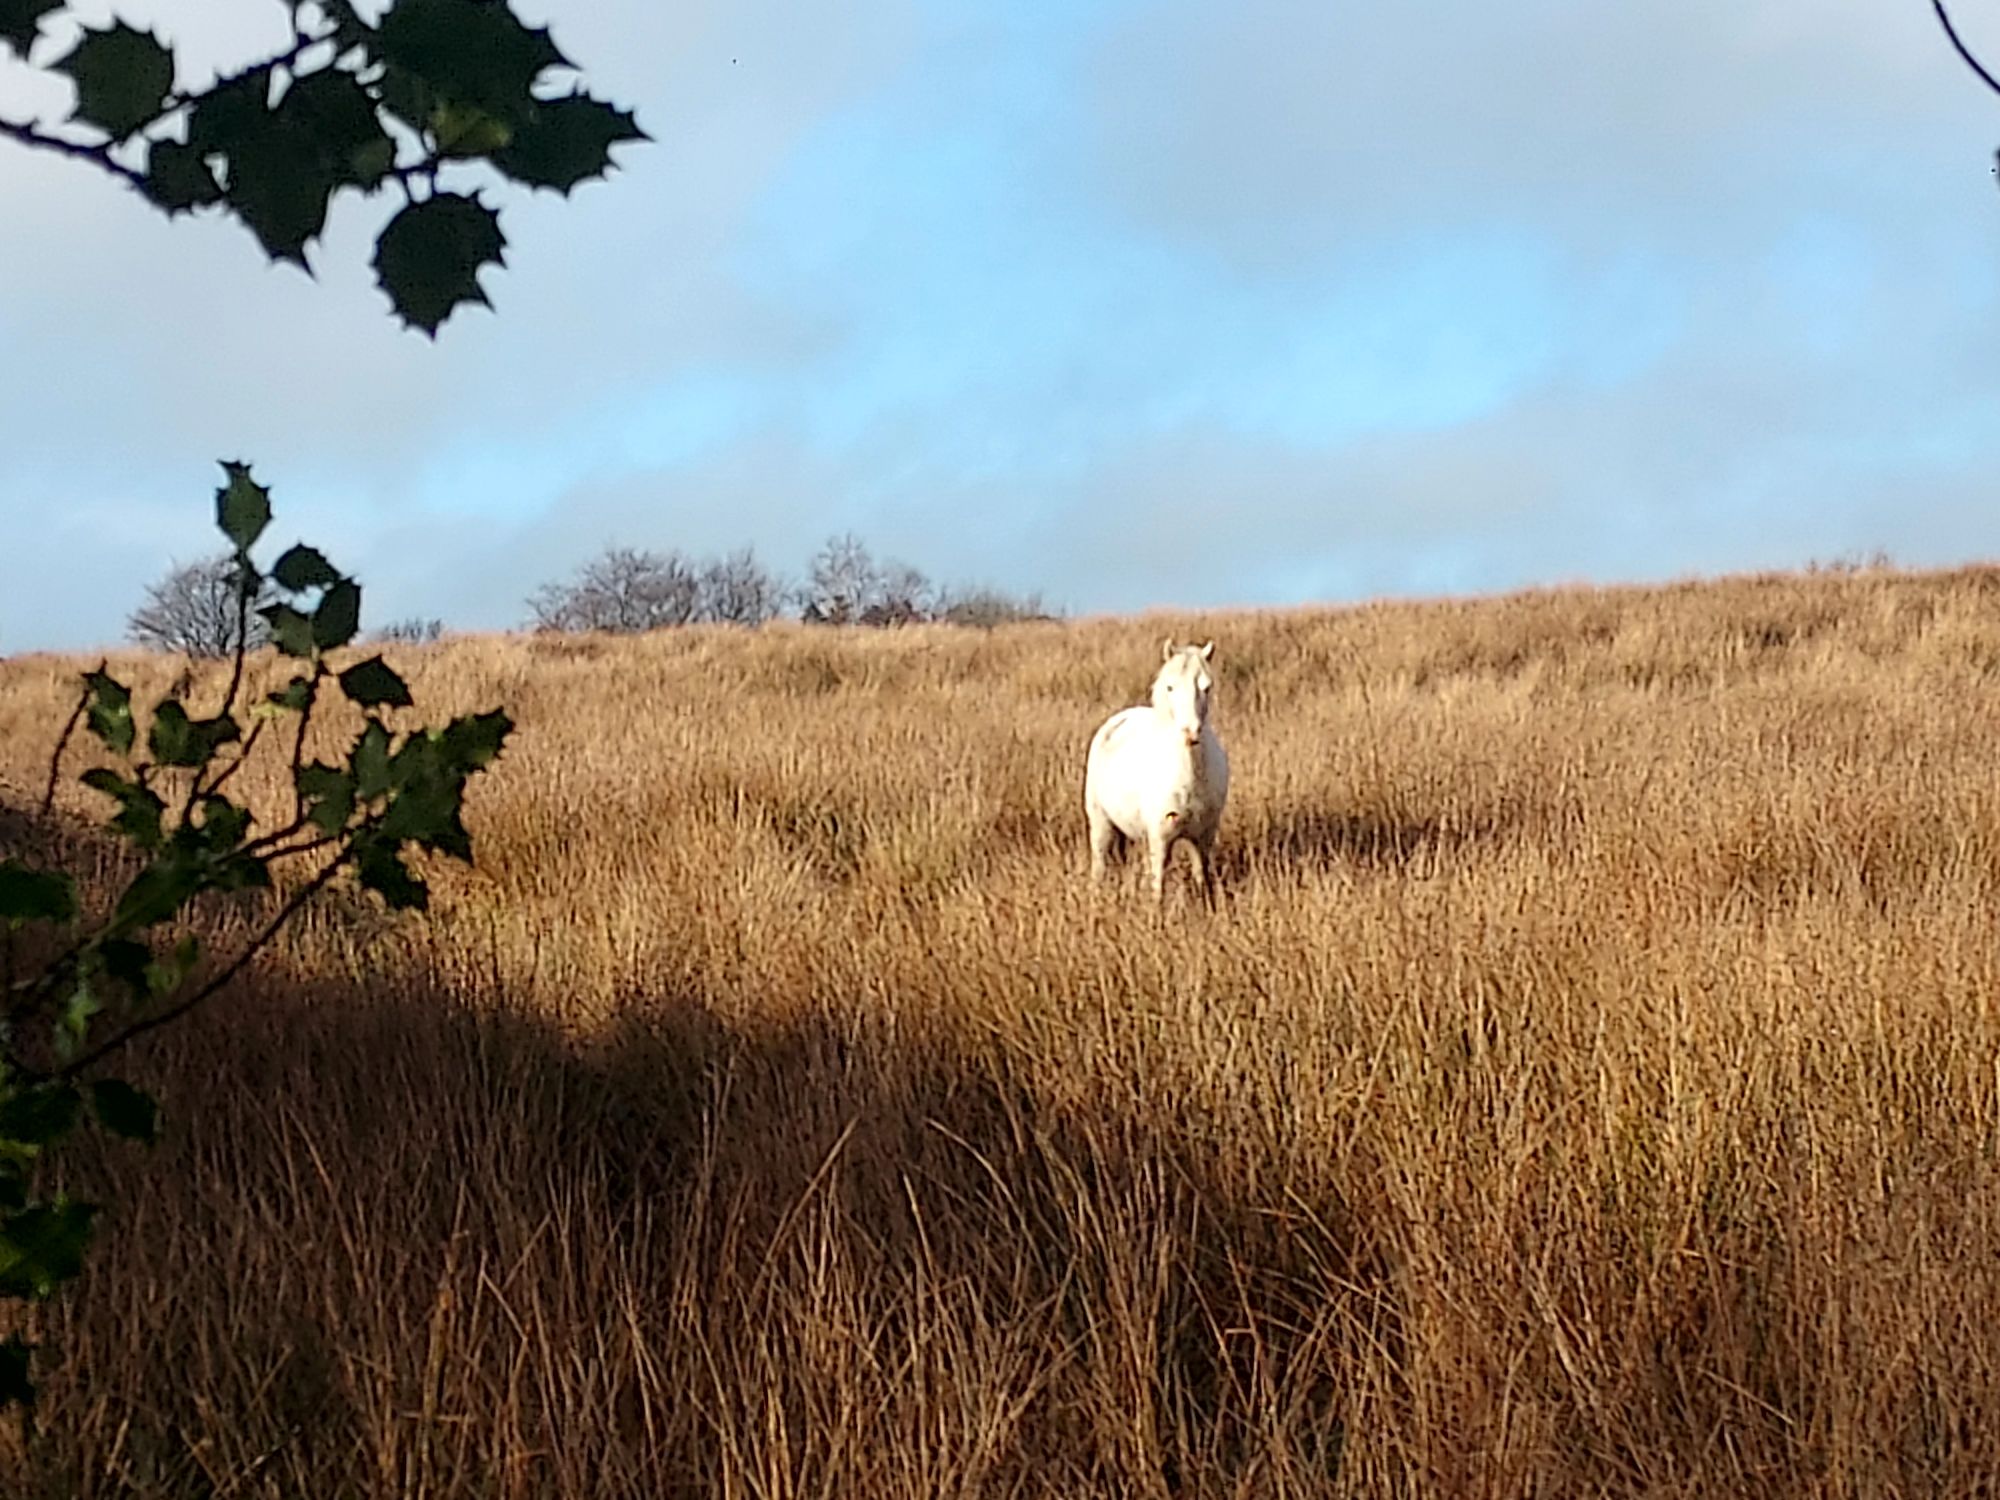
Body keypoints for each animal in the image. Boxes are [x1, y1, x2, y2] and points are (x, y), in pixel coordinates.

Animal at [1083, 638, 1230, 905]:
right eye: (1170, 687)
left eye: (1207, 687)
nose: (1190, 732)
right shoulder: (1160, 840)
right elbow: (1158, 886)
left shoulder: (1202, 839)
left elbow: (1202, 879)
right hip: (1101, 825)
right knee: (1099, 866)